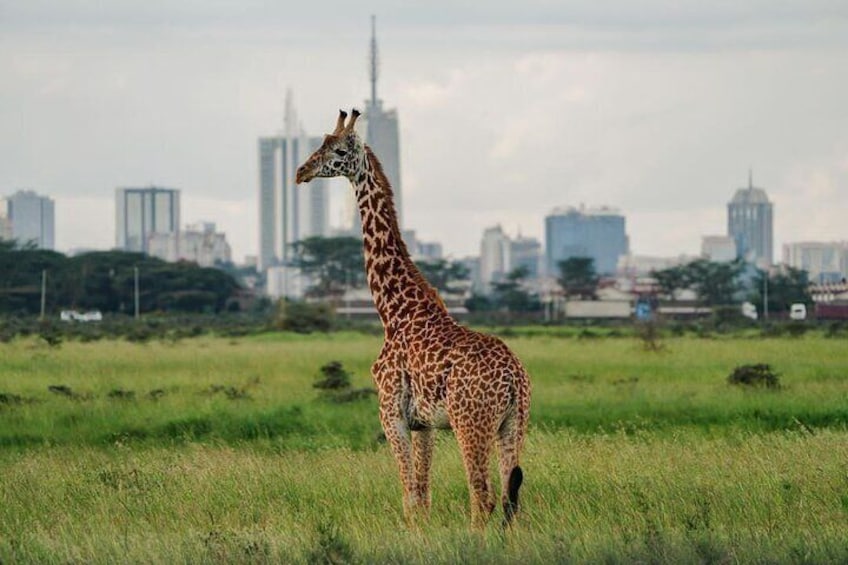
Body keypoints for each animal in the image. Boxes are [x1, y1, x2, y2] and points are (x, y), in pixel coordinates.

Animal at [294, 111, 528, 528]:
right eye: (319, 145)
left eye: (338, 152)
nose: (301, 172)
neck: (394, 311)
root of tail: (515, 378)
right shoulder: (425, 424)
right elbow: (423, 495)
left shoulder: (391, 415)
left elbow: (409, 495)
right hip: (513, 426)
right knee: (510, 498)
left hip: (471, 424)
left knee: (482, 497)